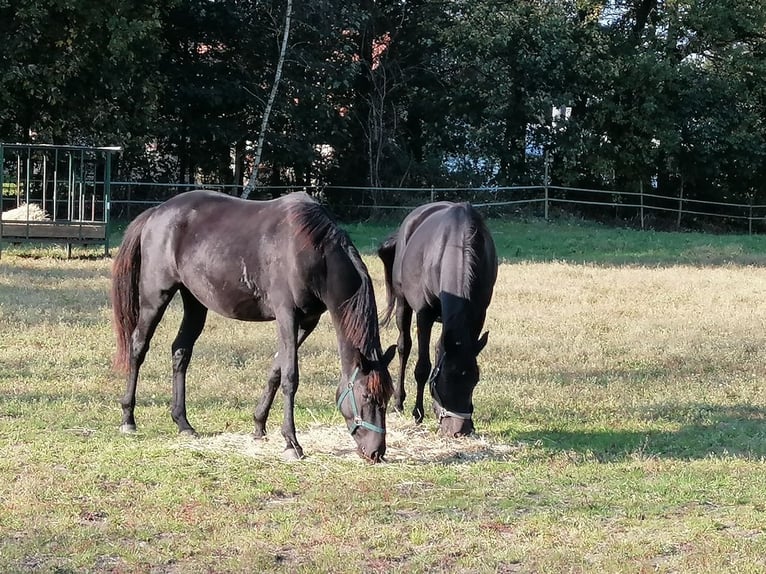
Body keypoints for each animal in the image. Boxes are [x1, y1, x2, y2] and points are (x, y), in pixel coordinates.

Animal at [112, 192, 396, 464]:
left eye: (388, 397)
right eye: (367, 397)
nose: (376, 452)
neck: (314, 251)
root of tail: (156, 212)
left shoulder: (307, 322)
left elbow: (276, 370)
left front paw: (259, 425)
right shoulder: (287, 316)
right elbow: (290, 376)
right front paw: (291, 443)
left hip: (194, 301)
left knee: (180, 351)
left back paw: (183, 423)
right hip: (155, 298)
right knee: (138, 347)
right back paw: (128, 418)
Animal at [380, 201, 500, 436]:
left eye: (475, 380)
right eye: (445, 380)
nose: (460, 430)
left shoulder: (478, 314)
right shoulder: (424, 313)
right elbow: (422, 367)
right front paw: (418, 413)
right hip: (402, 303)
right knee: (404, 346)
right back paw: (398, 402)